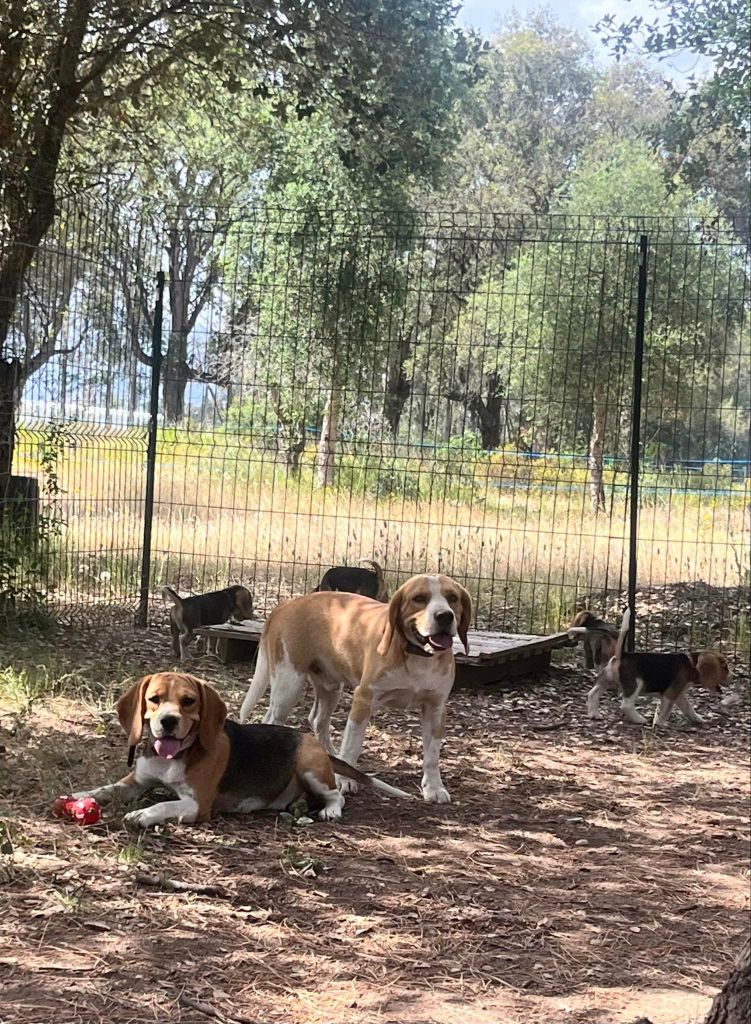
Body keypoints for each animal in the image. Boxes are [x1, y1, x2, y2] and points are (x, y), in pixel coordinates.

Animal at [73, 671, 407, 831]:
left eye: (189, 701)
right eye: (154, 699)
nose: (168, 722)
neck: (172, 758)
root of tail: (308, 738)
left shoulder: (196, 805)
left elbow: (164, 804)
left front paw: (142, 814)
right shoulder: (136, 781)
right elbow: (106, 789)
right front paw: (80, 795)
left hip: (310, 767)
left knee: (337, 794)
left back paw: (330, 810)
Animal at [237, 577, 471, 798]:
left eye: (453, 598)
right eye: (419, 598)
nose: (445, 616)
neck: (417, 656)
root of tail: (288, 603)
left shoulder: (435, 708)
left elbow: (432, 755)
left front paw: (434, 788)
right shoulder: (364, 700)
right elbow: (352, 746)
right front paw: (347, 781)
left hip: (331, 688)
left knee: (318, 720)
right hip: (288, 686)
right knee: (271, 719)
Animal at [581, 606, 729, 729]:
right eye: (724, 667)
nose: (731, 678)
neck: (691, 663)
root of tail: (621, 655)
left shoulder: (679, 694)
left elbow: (688, 708)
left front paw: (698, 719)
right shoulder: (669, 694)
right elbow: (664, 711)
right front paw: (660, 723)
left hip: (607, 679)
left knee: (592, 694)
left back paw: (594, 714)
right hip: (636, 683)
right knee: (626, 705)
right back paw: (639, 719)